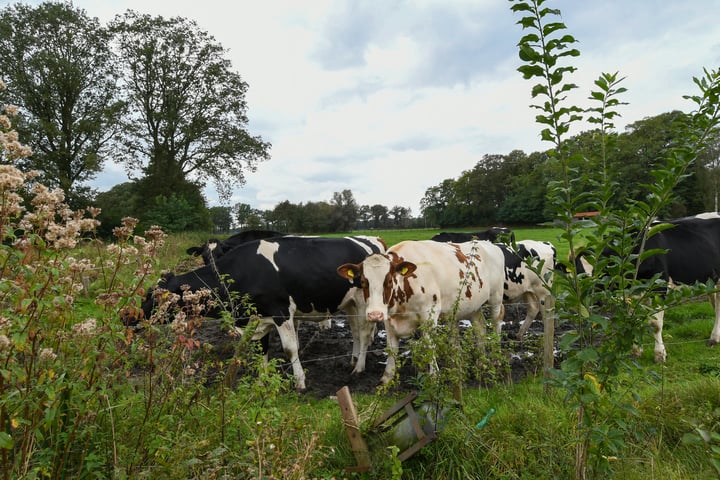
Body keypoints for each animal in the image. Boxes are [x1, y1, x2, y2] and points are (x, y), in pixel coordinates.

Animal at [134, 235, 388, 390]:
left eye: (153, 296)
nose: (129, 318)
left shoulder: (281, 311)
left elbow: (289, 349)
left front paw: (300, 382)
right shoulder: (258, 317)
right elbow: (261, 350)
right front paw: (262, 381)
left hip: (364, 302)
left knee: (365, 333)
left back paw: (359, 368)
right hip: (350, 304)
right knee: (355, 332)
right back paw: (352, 360)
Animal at [336, 240, 500, 386]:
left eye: (388, 281)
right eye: (363, 282)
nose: (374, 315)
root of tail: (488, 244)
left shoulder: (429, 315)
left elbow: (430, 345)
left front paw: (434, 376)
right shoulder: (389, 319)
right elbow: (391, 347)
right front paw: (387, 377)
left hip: (496, 298)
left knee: (496, 323)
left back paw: (495, 359)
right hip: (473, 306)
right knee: (480, 328)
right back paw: (480, 361)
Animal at [576, 212, 720, 362]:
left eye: (603, 272)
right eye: (579, 274)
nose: (591, 302)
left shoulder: (659, 286)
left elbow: (655, 324)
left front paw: (659, 354)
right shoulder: (631, 292)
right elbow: (632, 319)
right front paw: (636, 352)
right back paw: (715, 338)